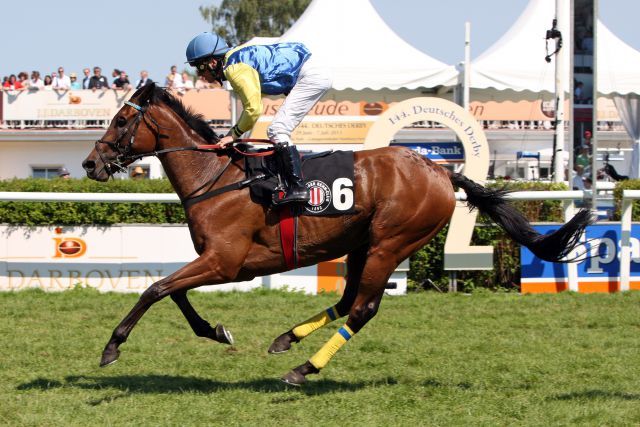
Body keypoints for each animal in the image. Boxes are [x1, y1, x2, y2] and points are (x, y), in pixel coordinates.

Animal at [82, 83, 592, 388]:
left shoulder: (225, 262)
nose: (90, 163)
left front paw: (111, 347)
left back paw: (302, 368)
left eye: (122, 121)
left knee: (363, 308)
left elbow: (155, 289)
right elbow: (173, 292)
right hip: (361, 245)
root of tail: (441, 172)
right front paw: (216, 330)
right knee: (348, 302)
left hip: (391, 242)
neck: (217, 178)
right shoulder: (215, 260)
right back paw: (286, 339)